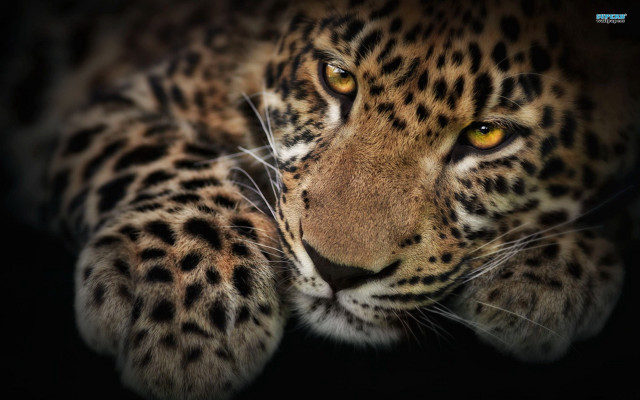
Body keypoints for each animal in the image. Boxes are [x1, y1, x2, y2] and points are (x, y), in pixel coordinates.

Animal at [2, 0, 638, 399]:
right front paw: (186, 313)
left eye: (486, 134)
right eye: (337, 77)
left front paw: (549, 274)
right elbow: (161, 153)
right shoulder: (114, 107)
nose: (337, 271)